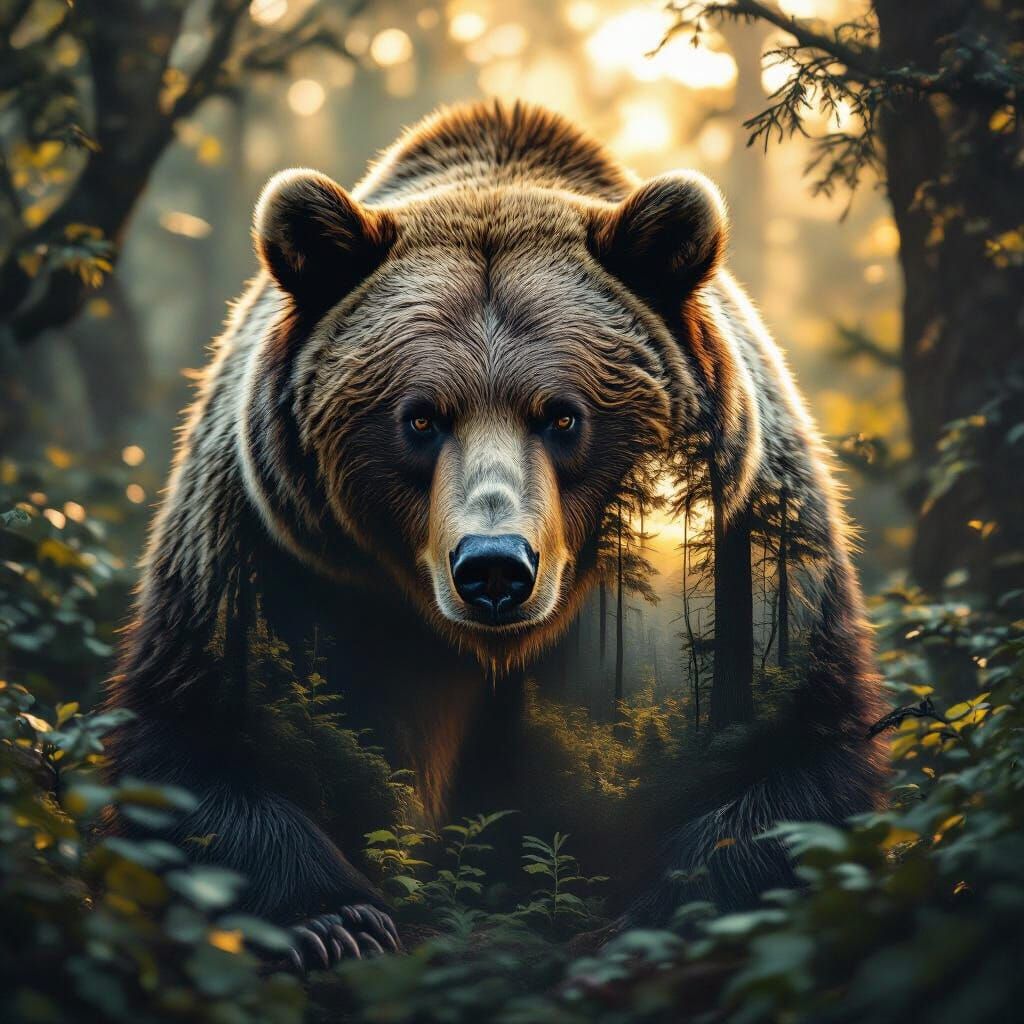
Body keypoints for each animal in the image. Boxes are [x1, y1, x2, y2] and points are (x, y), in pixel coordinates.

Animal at [105, 100, 886, 967]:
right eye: (419, 418)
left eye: (563, 416)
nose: (494, 568)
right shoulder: (272, 557)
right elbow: (207, 743)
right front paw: (334, 923)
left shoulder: (739, 549)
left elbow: (786, 757)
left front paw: (650, 919)